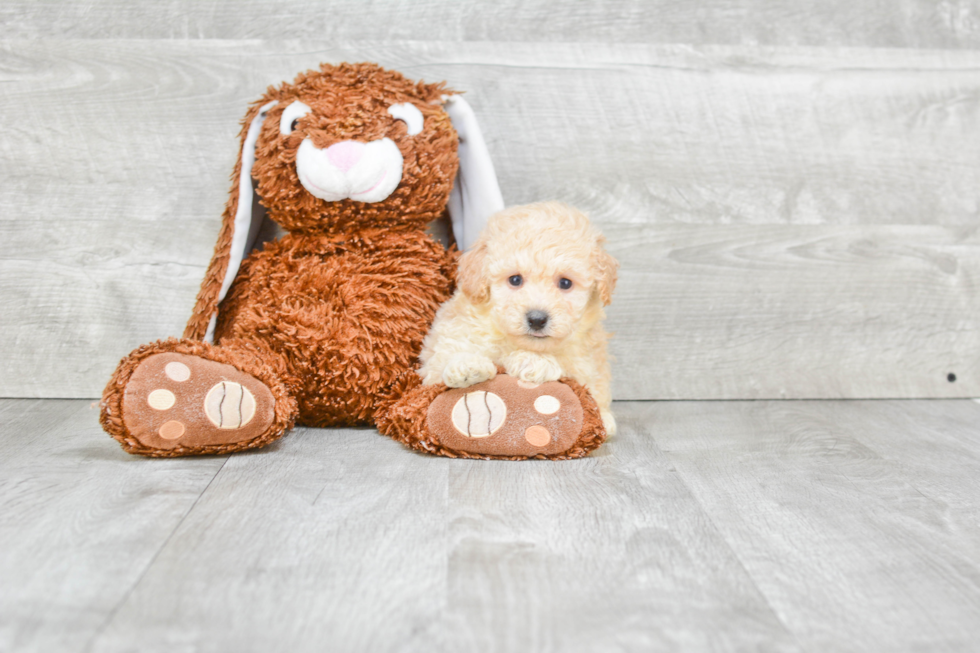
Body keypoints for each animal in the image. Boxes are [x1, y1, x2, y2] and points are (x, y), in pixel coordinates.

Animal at [416, 199, 616, 432]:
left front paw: (533, 361)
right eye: (515, 280)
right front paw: (467, 366)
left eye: (565, 283)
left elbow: (576, 372)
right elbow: (441, 365)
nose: (537, 319)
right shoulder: (441, 351)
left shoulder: (587, 362)